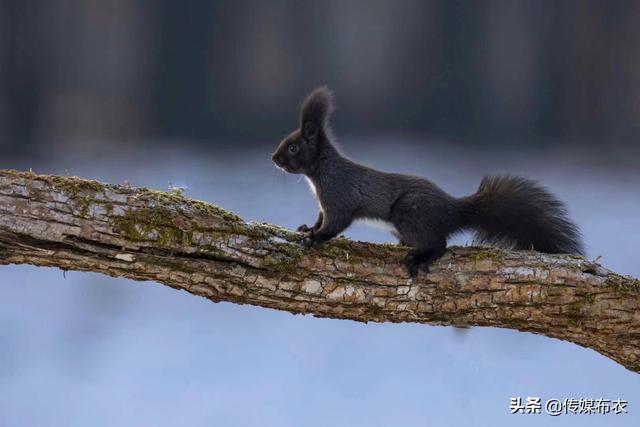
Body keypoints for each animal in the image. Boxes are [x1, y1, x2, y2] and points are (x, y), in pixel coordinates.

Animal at [272, 87, 584, 278]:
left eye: (293, 147)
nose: (273, 158)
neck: (320, 171)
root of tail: (453, 211)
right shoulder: (323, 204)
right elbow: (320, 218)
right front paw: (308, 228)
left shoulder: (339, 196)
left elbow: (334, 224)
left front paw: (315, 238)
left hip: (409, 212)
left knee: (440, 245)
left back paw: (420, 258)